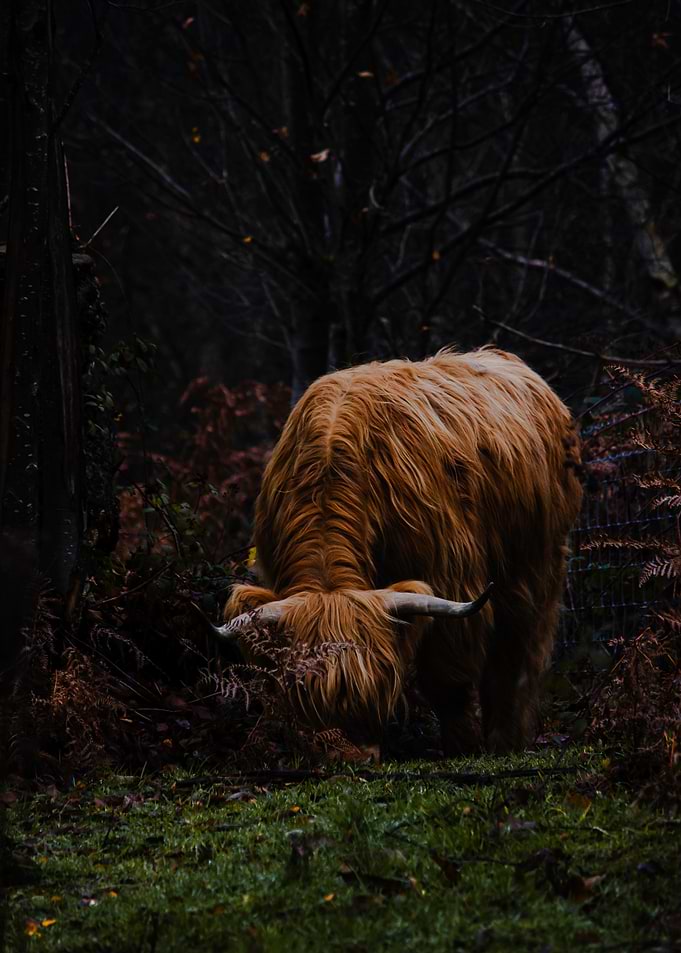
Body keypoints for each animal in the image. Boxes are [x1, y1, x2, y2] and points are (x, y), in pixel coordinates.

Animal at [212, 348, 582, 755]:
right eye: (304, 692)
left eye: (376, 687)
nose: (351, 758)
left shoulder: (453, 576)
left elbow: (448, 679)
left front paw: (461, 744)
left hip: (536, 567)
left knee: (516, 656)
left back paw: (506, 738)